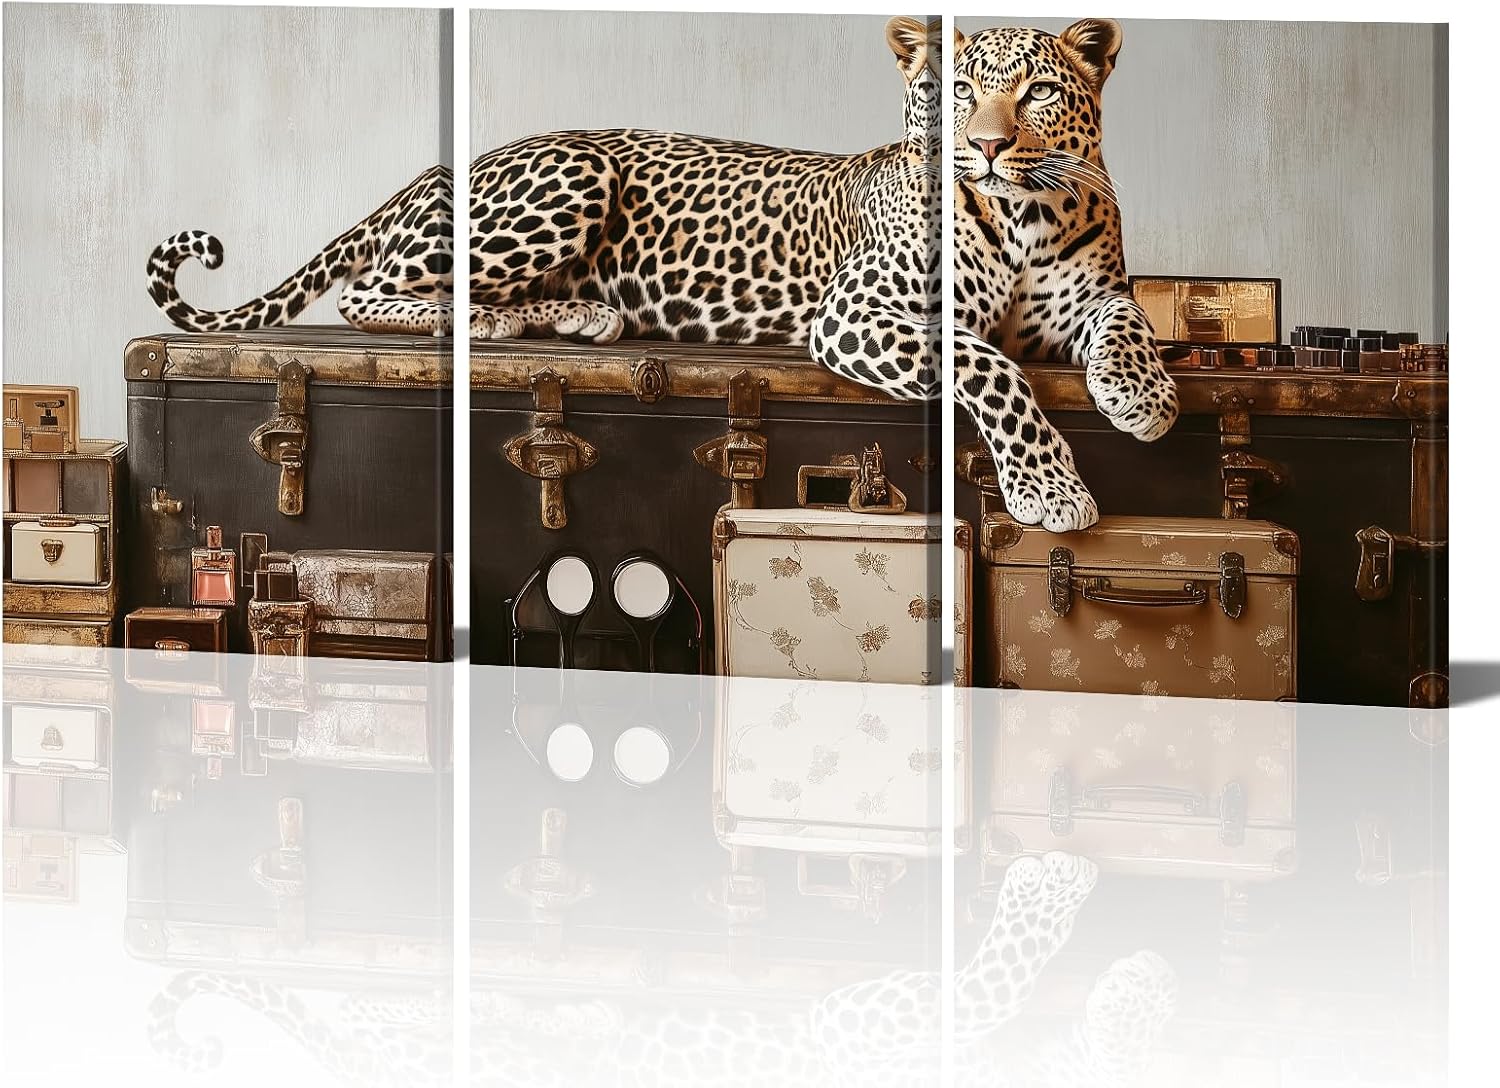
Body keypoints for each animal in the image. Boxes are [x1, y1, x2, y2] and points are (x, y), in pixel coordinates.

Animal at [953, 18, 1181, 532]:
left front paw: (1143, 394)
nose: (987, 145)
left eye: (1039, 91)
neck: (1024, 217)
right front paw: (1049, 487)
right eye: (963, 91)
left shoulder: (1070, 318)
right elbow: (995, 374)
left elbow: (1127, 312)